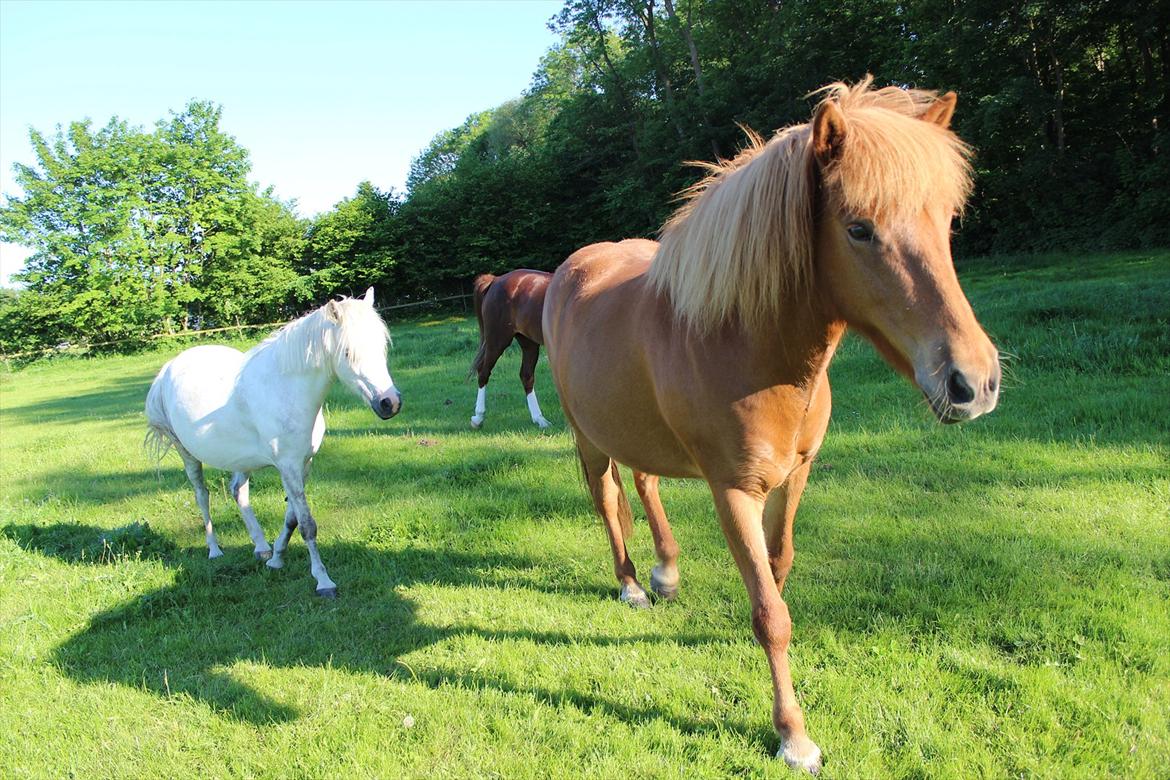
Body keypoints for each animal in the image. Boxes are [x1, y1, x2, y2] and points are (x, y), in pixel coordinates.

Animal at [145, 288, 402, 598]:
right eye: (348, 352)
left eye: (382, 346)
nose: (390, 403)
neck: (286, 390)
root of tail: (169, 368)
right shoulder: (288, 466)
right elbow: (307, 525)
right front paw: (323, 581)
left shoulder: (303, 463)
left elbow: (292, 518)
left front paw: (277, 558)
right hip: (187, 454)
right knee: (202, 495)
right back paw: (214, 550)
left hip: (240, 460)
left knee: (237, 491)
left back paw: (261, 548)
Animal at [542, 76, 1001, 771]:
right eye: (859, 229)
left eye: (947, 221)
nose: (972, 383)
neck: (746, 343)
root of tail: (569, 272)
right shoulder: (733, 492)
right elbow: (771, 614)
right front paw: (794, 736)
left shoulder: (796, 475)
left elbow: (777, 573)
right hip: (589, 438)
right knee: (607, 499)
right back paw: (632, 585)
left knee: (645, 484)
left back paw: (666, 572)